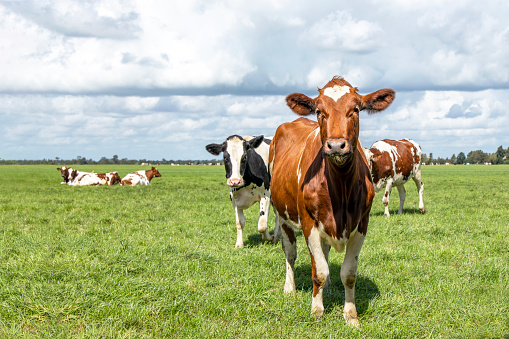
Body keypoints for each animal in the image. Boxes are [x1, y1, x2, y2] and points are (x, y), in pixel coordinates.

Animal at [268, 76, 394, 326]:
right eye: (319, 111)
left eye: (355, 109)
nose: (336, 145)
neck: (341, 187)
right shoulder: (309, 223)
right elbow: (318, 272)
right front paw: (317, 311)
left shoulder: (361, 224)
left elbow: (348, 273)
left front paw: (351, 315)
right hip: (282, 215)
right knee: (291, 253)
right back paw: (290, 288)